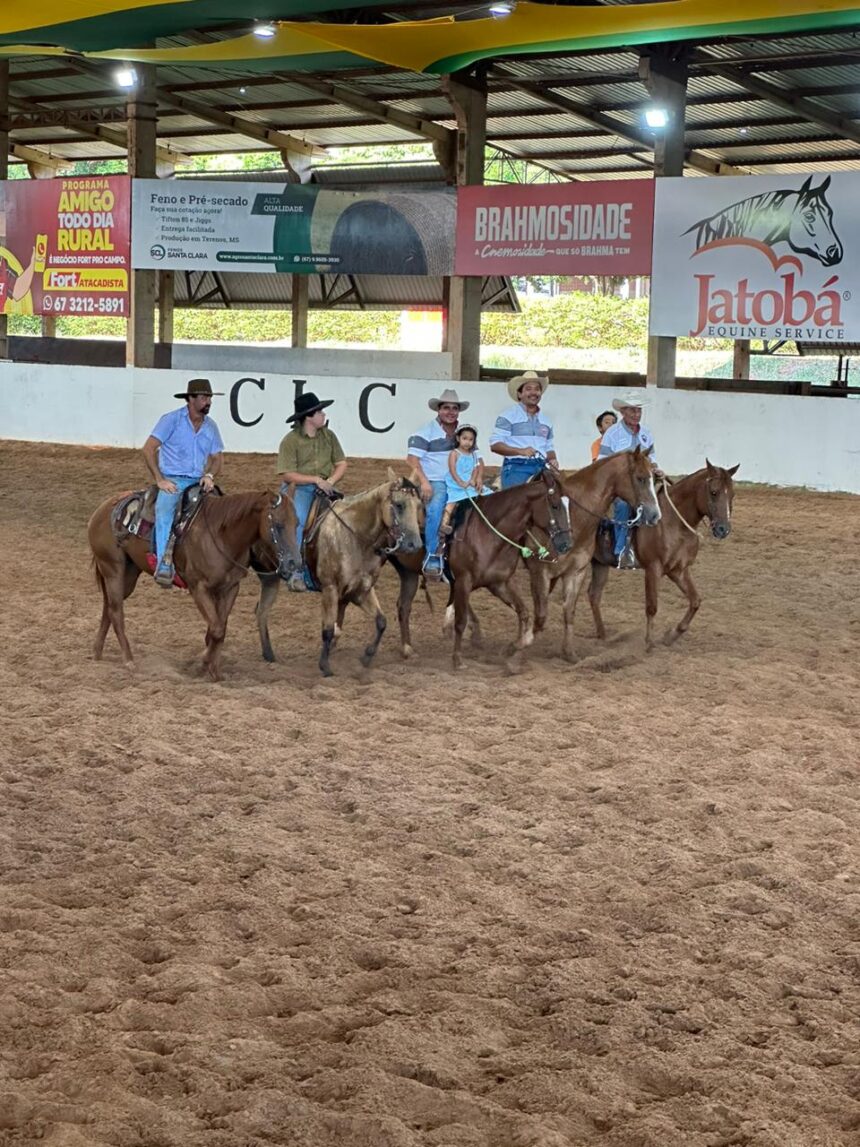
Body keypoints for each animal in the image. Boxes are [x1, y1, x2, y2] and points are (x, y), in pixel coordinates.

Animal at [87, 486, 300, 679]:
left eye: (297, 524)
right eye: (279, 525)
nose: (294, 563)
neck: (221, 535)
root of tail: (103, 508)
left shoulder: (230, 588)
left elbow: (219, 628)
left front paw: (214, 670)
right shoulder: (199, 588)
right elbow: (216, 630)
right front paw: (203, 664)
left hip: (129, 573)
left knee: (109, 607)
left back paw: (97, 652)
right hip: (113, 569)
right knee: (116, 612)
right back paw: (128, 660)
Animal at [254, 470, 426, 674]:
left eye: (419, 505)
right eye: (399, 505)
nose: (414, 544)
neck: (355, 537)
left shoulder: (361, 590)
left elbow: (381, 622)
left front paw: (367, 656)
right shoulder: (330, 589)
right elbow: (328, 630)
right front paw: (325, 666)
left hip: (269, 578)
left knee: (261, 610)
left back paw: (268, 654)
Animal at [444, 467, 573, 669]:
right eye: (555, 506)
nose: (567, 544)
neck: (488, 533)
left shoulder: (498, 582)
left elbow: (524, 612)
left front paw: (515, 646)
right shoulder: (464, 579)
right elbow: (460, 621)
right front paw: (457, 659)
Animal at [529, 447, 665, 665]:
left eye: (653, 475)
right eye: (640, 478)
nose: (655, 515)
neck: (573, 515)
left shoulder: (576, 571)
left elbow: (568, 610)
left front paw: (569, 653)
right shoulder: (540, 570)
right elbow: (540, 611)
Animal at [591, 458, 743, 656]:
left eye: (732, 494)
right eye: (714, 492)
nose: (723, 529)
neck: (673, 523)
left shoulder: (678, 570)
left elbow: (695, 601)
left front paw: (672, 635)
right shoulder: (653, 568)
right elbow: (652, 606)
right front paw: (649, 643)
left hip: (599, 563)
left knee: (594, 596)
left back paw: (603, 637)